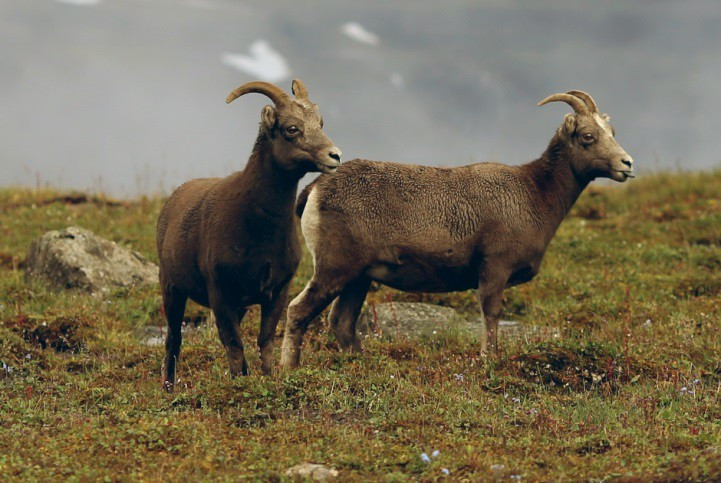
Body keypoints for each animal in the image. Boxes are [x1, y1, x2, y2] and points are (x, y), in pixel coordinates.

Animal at [157, 79, 340, 390]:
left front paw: (266, 378)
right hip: (171, 288)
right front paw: (238, 384)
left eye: (320, 122)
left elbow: (264, 341)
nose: (335, 155)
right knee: (173, 339)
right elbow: (233, 345)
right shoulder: (220, 292)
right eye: (292, 128)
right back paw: (168, 388)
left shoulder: (276, 291)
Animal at [278, 89, 632, 368]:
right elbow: (490, 315)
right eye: (588, 136)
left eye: (612, 132)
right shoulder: (494, 271)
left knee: (341, 321)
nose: (627, 164)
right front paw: (489, 360)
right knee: (298, 311)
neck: (534, 194)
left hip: (358, 278)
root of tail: (314, 190)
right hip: (334, 270)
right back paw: (288, 368)